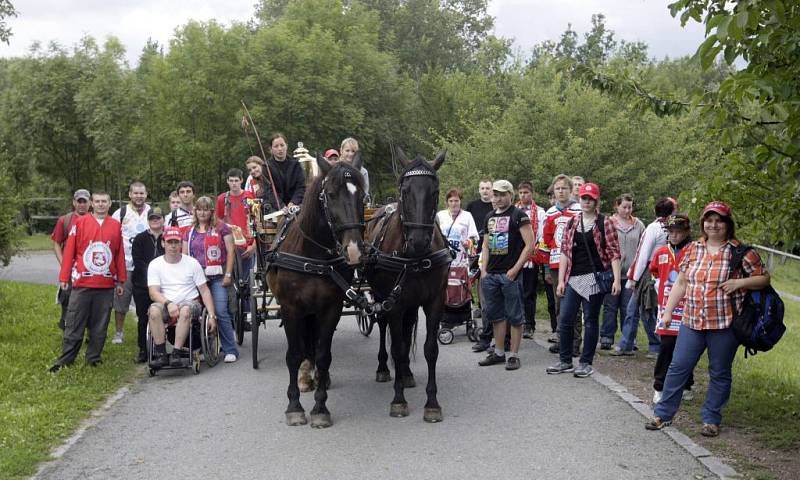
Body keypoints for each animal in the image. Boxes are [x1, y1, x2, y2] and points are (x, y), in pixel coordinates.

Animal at [268, 157, 368, 428]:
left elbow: (324, 355)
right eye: (331, 195)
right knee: (304, 345)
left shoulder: (329, 309)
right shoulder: (291, 309)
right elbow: (293, 354)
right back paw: (305, 375)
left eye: (362, 196)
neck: (311, 256)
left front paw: (320, 407)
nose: (354, 250)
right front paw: (294, 407)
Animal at [366, 147, 454, 424]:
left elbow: (430, 349)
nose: (418, 240)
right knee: (384, 329)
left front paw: (432, 403)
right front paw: (398, 400)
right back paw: (384, 368)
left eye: (435, 191)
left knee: (406, 332)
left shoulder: (434, 301)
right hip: (382, 298)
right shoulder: (393, 304)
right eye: (405, 191)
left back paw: (405, 373)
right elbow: (396, 346)